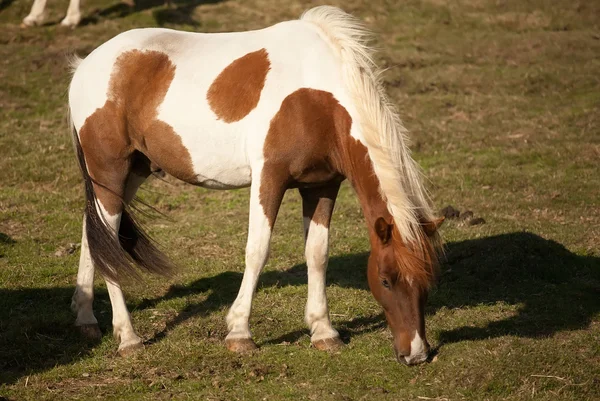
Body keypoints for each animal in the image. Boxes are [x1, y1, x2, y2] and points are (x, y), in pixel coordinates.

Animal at [69, 6, 446, 364]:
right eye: (385, 280)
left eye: (428, 280)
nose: (416, 353)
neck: (317, 99)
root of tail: (85, 65)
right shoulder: (269, 178)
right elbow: (258, 250)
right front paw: (240, 333)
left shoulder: (322, 186)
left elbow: (317, 253)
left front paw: (324, 331)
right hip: (110, 173)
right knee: (109, 245)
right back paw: (128, 337)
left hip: (132, 174)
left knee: (94, 233)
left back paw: (86, 318)